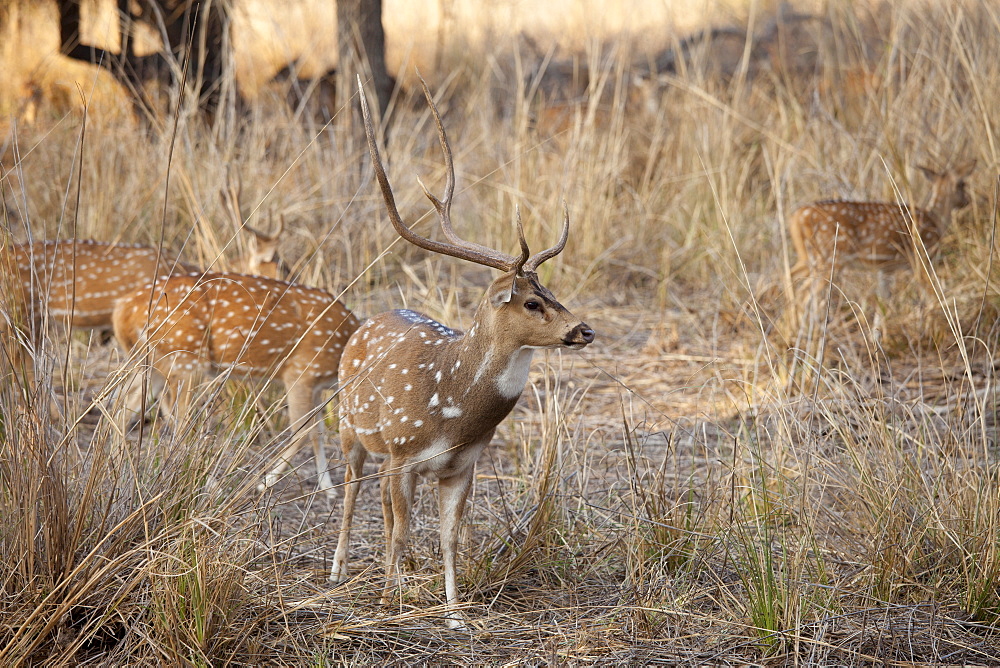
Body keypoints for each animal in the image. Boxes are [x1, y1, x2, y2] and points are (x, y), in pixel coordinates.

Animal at [111, 268, 360, 496]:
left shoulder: (316, 388)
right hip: (184, 358)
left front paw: (328, 487)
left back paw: (120, 472)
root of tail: (121, 309)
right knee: (180, 424)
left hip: (150, 361)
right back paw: (212, 486)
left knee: (122, 410)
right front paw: (264, 483)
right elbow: (303, 433)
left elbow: (318, 432)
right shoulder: (302, 372)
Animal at [328, 81, 592, 628]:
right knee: (351, 490)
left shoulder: (463, 465)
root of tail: (369, 319)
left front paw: (453, 613)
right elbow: (402, 529)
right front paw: (385, 605)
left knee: (380, 504)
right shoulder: (404, 452)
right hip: (350, 426)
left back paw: (403, 572)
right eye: (531, 301)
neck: (450, 407)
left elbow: (449, 537)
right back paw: (339, 571)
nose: (584, 329)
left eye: (552, 292)